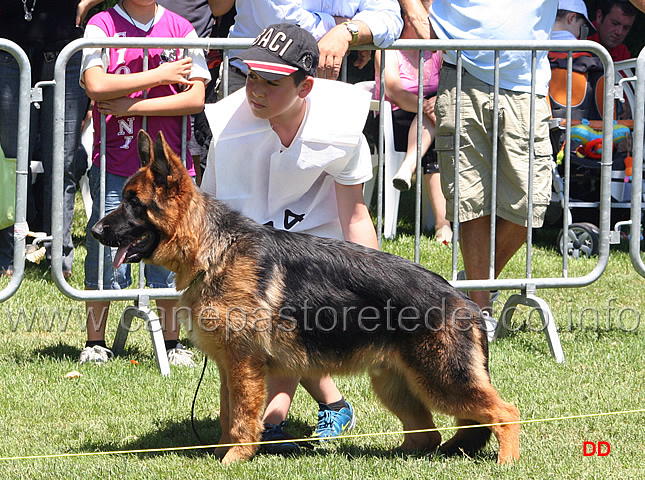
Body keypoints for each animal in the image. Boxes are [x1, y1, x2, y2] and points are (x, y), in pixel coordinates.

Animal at [93, 131, 520, 464]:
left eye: (134, 204)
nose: (95, 231)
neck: (215, 249)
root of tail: (462, 299)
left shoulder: (244, 365)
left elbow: (242, 417)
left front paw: (235, 458)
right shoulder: (229, 367)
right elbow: (228, 415)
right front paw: (220, 452)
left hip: (442, 380)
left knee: (505, 412)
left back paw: (507, 461)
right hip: (396, 385)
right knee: (428, 435)